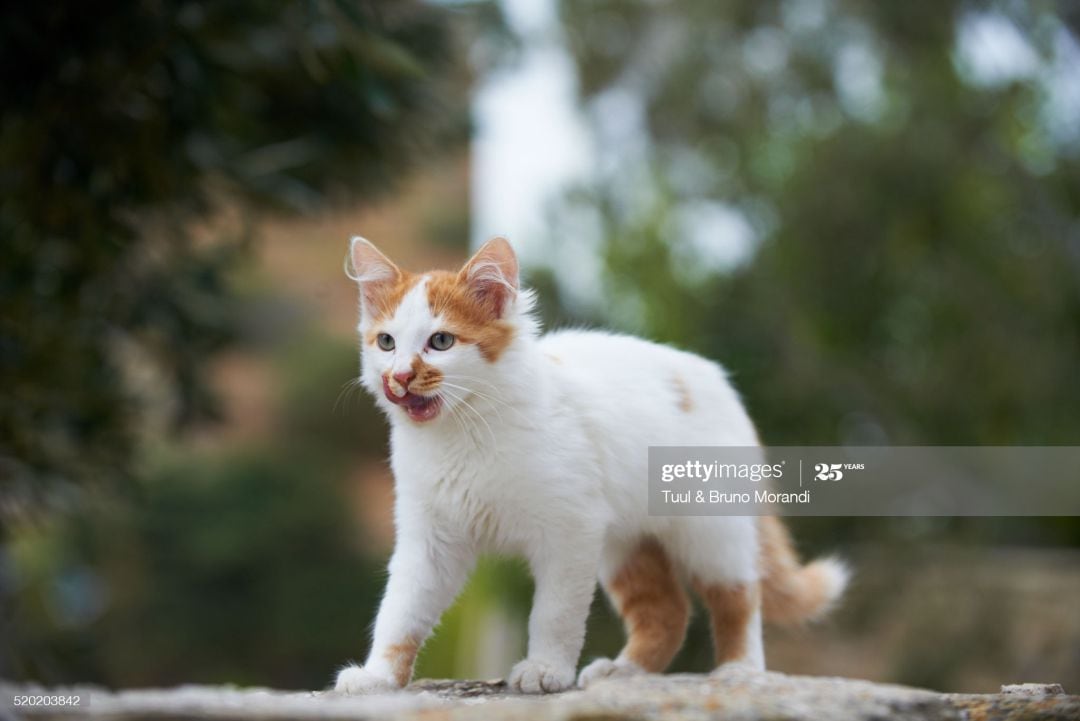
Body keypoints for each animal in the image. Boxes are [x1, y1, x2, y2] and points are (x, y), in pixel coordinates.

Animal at [332, 236, 846, 690]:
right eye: (385, 343)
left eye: (440, 341)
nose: (399, 377)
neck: (463, 434)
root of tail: (716, 380)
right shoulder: (430, 539)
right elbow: (400, 611)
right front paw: (379, 676)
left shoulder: (569, 530)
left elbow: (554, 613)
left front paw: (545, 669)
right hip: (626, 543)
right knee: (667, 612)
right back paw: (626, 671)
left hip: (709, 529)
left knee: (738, 596)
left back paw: (740, 669)